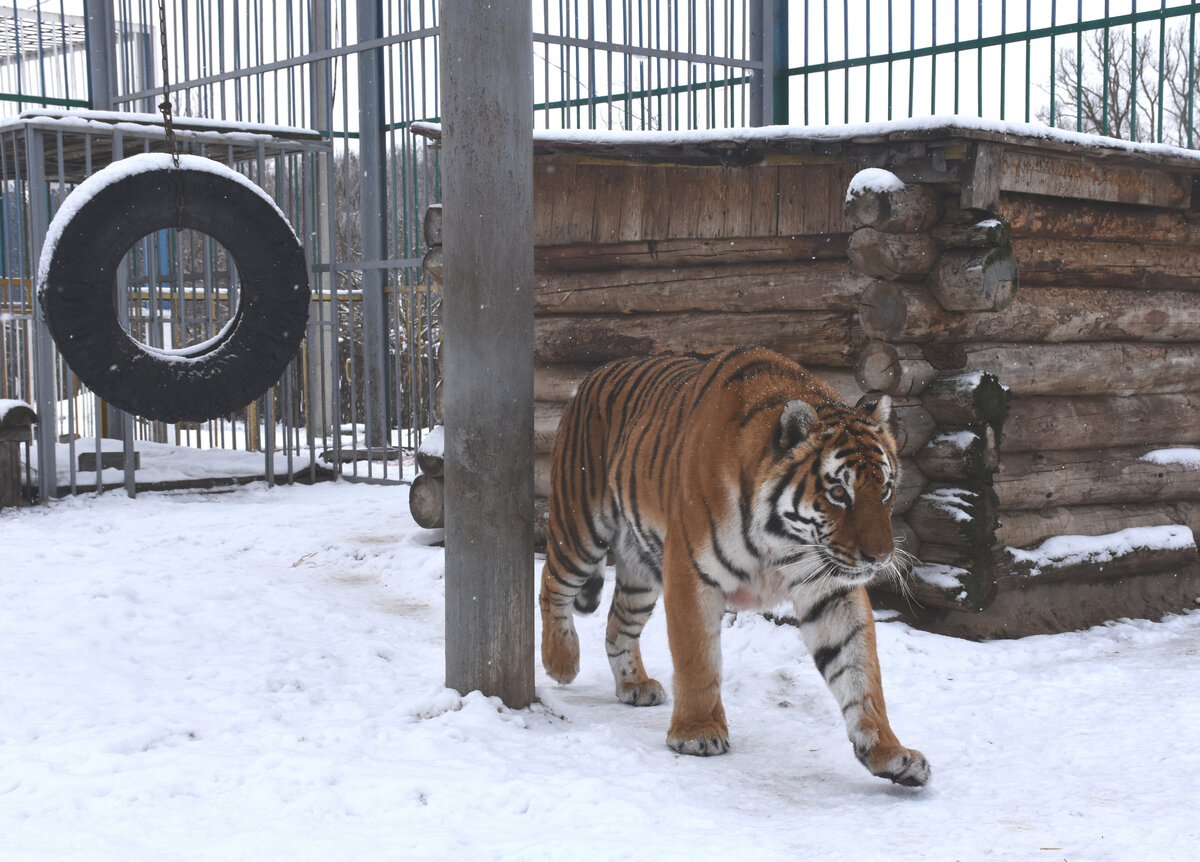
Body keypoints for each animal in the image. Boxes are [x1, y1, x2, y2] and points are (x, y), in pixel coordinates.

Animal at [540, 345, 931, 792]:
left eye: (885, 490)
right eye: (837, 492)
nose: (879, 558)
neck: (781, 538)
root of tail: (591, 375)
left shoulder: (828, 587)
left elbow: (859, 671)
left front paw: (889, 753)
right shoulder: (690, 572)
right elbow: (698, 658)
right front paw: (697, 732)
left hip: (641, 568)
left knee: (617, 622)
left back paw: (634, 685)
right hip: (580, 527)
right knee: (551, 584)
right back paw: (560, 661)